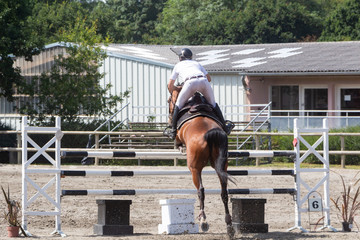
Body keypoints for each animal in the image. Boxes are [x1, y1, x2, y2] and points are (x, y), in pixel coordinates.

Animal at [167, 86, 235, 238]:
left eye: (169, 101)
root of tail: (210, 132)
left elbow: (177, 141)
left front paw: (178, 145)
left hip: (194, 169)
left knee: (201, 190)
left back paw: (203, 221)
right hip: (222, 167)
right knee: (224, 193)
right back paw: (229, 226)